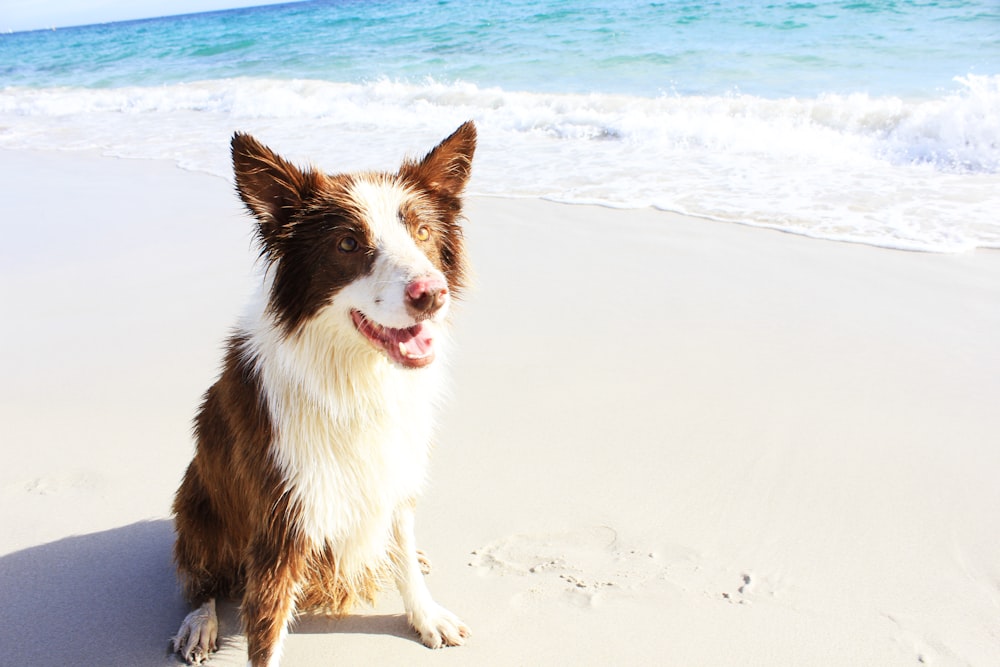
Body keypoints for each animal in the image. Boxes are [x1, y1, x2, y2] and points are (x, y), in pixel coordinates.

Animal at [170, 122, 474, 664]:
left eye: (422, 233)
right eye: (348, 243)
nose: (432, 294)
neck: (356, 375)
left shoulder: (396, 464)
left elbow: (401, 541)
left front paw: (425, 613)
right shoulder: (281, 513)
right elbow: (266, 631)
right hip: (196, 500)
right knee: (201, 575)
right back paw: (200, 622)